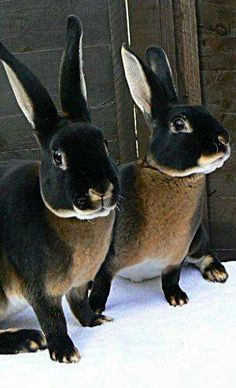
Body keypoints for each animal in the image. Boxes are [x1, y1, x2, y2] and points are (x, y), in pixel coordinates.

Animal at [0, 14, 119, 360]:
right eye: (58, 156)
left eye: (103, 143)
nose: (100, 188)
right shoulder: (40, 290)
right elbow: (53, 319)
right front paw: (66, 353)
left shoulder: (79, 285)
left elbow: (79, 305)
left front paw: (97, 321)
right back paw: (28, 339)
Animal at [90, 44, 230, 314]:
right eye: (179, 124)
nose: (223, 140)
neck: (167, 175)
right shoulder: (107, 261)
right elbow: (102, 285)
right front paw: (94, 310)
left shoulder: (175, 258)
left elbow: (171, 279)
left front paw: (178, 299)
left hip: (196, 239)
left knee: (205, 253)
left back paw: (218, 273)